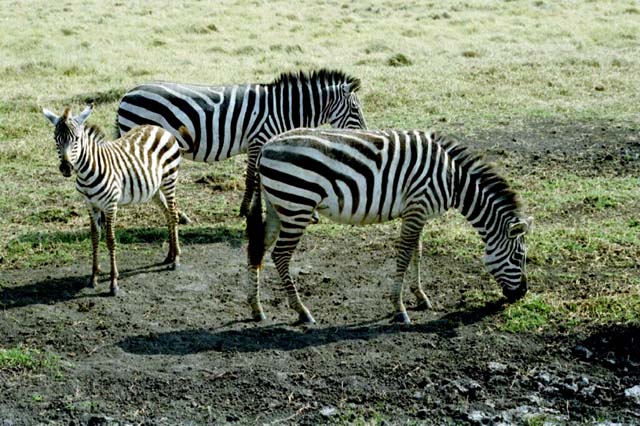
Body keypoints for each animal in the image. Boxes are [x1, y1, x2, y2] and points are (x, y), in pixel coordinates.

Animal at [42, 105, 191, 296]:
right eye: (56, 139)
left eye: (77, 139)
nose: (66, 168)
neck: (87, 172)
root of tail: (162, 130)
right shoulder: (90, 205)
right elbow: (95, 237)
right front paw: (93, 277)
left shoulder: (110, 205)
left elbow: (110, 240)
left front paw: (113, 283)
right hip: (155, 189)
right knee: (167, 214)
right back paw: (169, 256)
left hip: (169, 180)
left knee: (173, 214)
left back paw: (176, 259)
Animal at [116, 69, 367, 222]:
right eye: (355, 109)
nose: (365, 132)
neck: (282, 109)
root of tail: (127, 94)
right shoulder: (258, 140)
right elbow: (252, 179)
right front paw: (247, 210)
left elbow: (260, 179)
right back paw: (180, 215)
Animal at [246, 128, 532, 325]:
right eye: (519, 256)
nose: (523, 293)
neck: (453, 179)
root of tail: (267, 146)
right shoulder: (417, 208)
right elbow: (405, 255)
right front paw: (399, 307)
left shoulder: (417, 211)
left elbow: (417, 252)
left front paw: (421, 297)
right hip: (298, 205)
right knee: (280, 255)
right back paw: (301, 310)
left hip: (278, 206)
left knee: (258, 248)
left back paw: (256, 307)